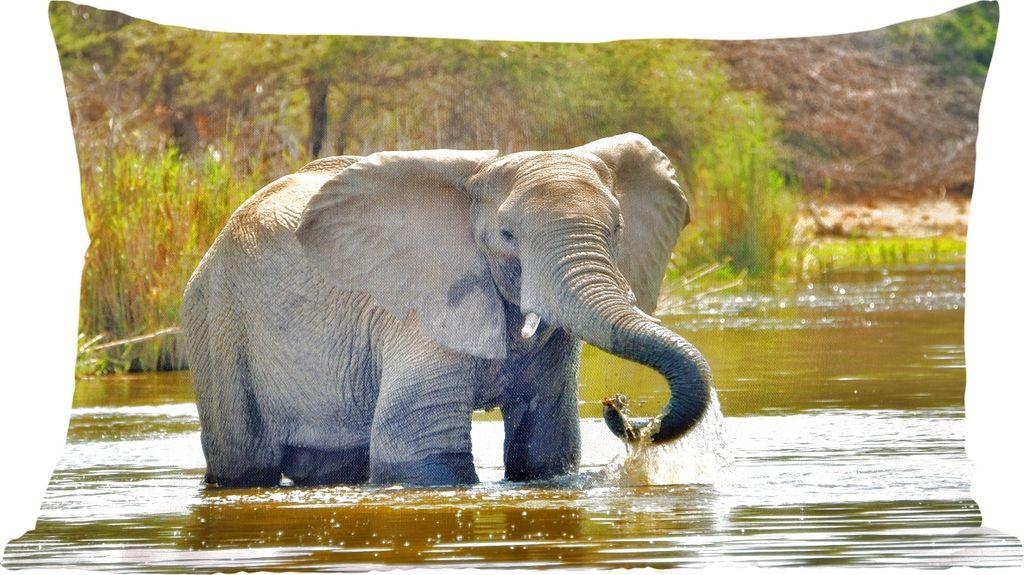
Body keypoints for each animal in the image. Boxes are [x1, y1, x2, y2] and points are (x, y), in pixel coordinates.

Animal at [181, 132, 712, 488]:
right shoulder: (418, 310)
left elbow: (545, 448)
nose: (618, 408)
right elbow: (421, 453)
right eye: (507, 235)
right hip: (216, 321)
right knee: (243, 462)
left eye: (617, 228)